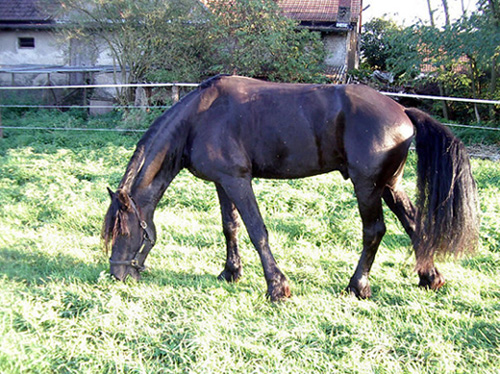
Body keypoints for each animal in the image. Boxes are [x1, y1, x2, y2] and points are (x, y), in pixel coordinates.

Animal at [102, 74, 480, 300]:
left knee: (374, 231)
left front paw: (277, 287)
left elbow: (257, 231)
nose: (117, 274)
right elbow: (230, 227)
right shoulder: (224, 183)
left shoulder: (239, 181)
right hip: (390, 185)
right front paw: (230, 272)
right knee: (414, 224)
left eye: (124, 231)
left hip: (368, 187)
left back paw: (357, 286)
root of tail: (402, 109)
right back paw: (430, 278)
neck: (200, 118)